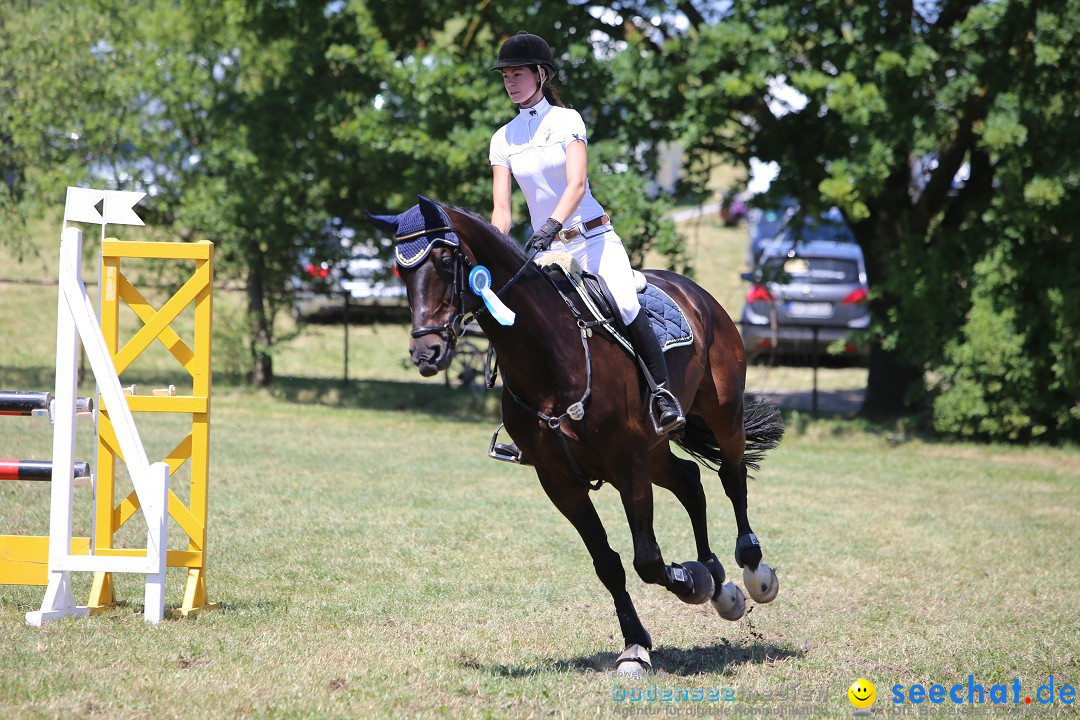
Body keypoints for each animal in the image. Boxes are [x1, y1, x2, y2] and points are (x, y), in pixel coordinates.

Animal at [371, 195, 786, 677]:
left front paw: (687, 584)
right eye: (401, 272)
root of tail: (694, 292)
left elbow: (647, 560)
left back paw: (752, 573)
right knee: (689, 481)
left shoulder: (627, 467)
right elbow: (608, 564)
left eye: (442, 260)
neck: (551, 359)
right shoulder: (559, 480)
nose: (426, 353)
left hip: (722, 413)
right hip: (655, 450)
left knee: (731, 477)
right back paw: (719, 584)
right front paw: (638, 642)